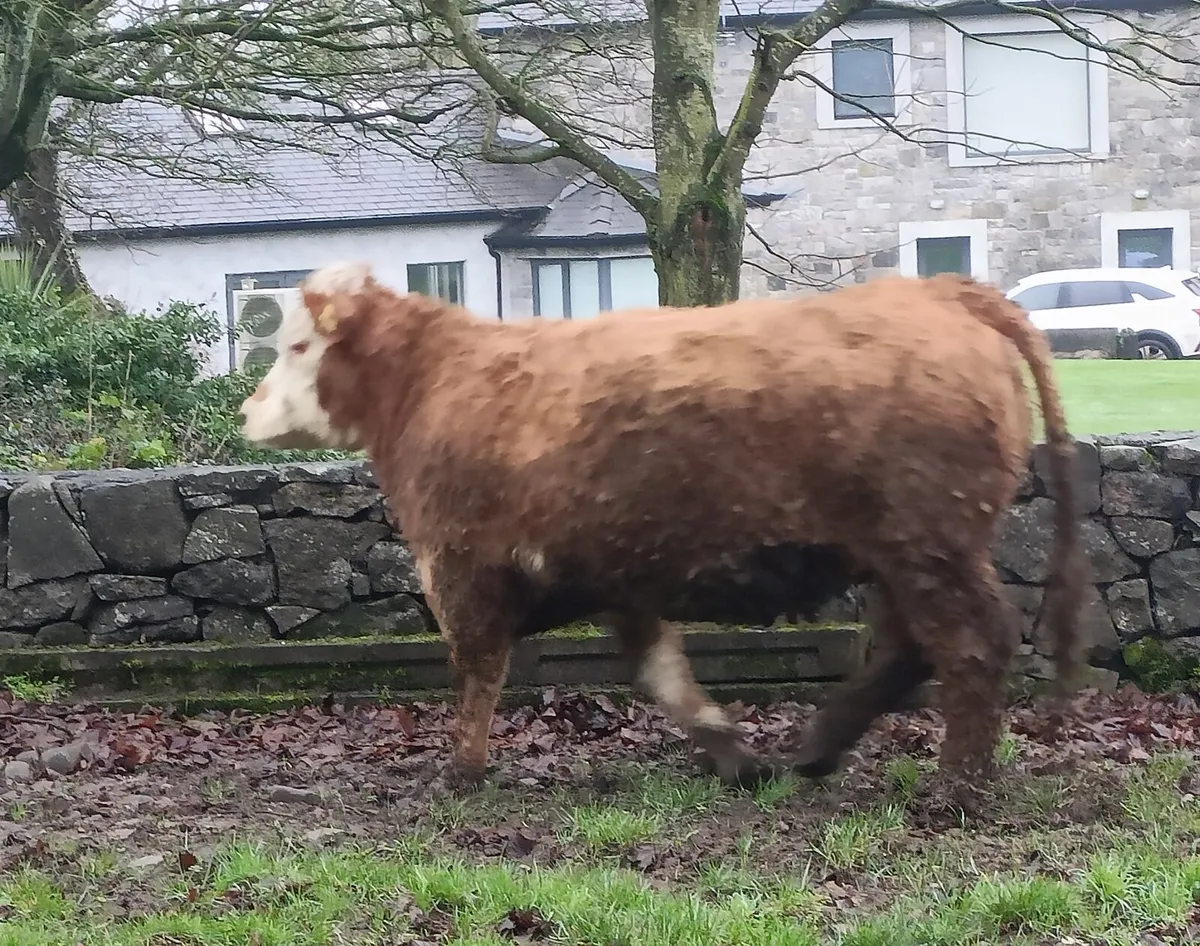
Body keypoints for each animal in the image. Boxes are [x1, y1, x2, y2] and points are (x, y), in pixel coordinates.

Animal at [239, 262, 1085, 799]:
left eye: (297, 346)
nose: (247, 409)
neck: (432, 383)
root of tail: (941, 291)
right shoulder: (621, 578)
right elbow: (662, 674)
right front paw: (734, 754)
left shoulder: (463, 570)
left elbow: (478, 671)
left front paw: (463, 771)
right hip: (900, 555)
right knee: (913, 648)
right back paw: (818, 749)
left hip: (929, 548)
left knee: (971, 645)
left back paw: (955, 790)